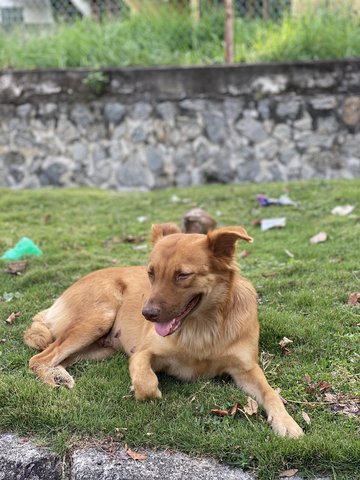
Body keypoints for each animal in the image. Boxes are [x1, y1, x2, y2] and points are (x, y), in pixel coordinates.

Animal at [23, 223, 304, 436]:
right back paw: (53, 381)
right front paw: (144, 389)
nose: (146, 314)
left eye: (183, 275)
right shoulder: (143, 353)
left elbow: (271, 393)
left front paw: (287, 422)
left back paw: (60, 376)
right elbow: (145, 381)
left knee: (55, 358)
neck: (203, 327)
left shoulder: (246, 369)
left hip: (98, 347)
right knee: (39, 358)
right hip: (98, 318)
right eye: (151, 273)